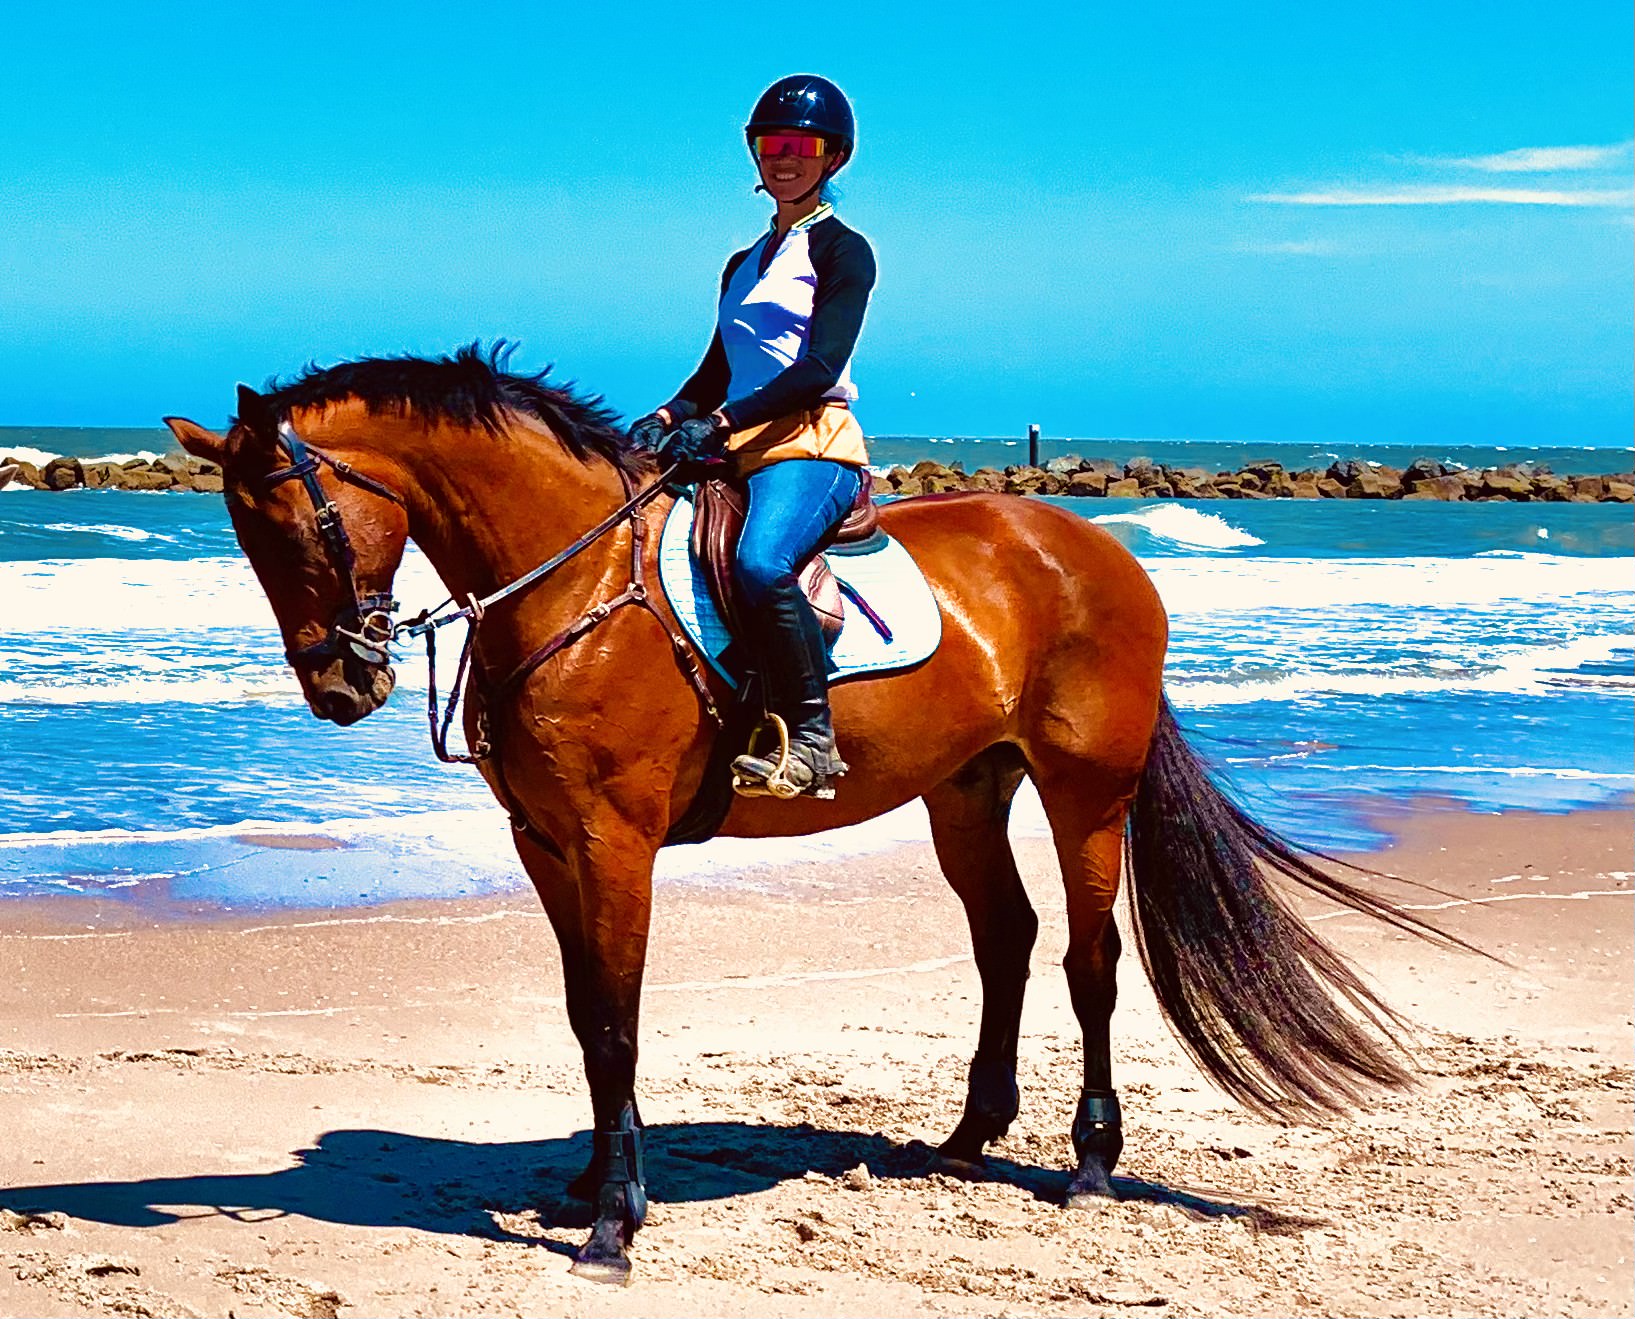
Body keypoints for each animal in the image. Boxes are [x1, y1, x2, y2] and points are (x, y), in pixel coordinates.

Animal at [164, 345, 1452, 1282]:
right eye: (243, 539)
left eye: (303, 524)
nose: (342, 685)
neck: (575, 579)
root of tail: (1099, 548)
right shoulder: (546, 841)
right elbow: (585, 1015)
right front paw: (591, 1185)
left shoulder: (614, 838)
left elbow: (618, 1020)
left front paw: (614, 1224)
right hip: (966, 789)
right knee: (1008, 938)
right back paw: (967, 1137)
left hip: (1087, 791)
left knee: (1090, 956)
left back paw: (1089, 1161)